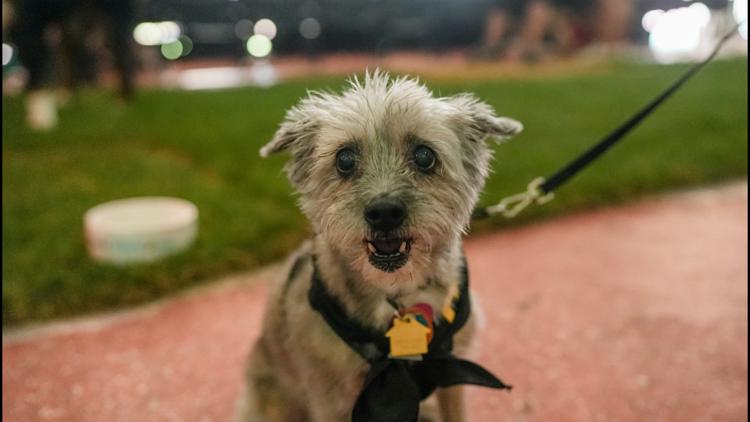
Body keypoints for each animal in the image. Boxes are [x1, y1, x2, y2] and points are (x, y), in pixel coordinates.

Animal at [239, 71, 524, 420]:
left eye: (425, 156)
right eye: (344, 159)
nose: (384, 212)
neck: (397, 295)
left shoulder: (451, 381)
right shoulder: (330, 399)